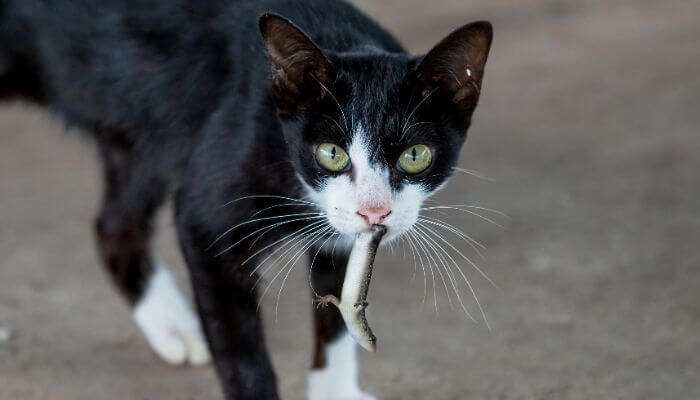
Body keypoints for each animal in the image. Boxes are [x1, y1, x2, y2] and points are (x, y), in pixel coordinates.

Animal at [0, 0, 492, 400]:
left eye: (415, 155)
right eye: (332, 153)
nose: (374, 211)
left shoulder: (338, 235)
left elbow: (335, 319)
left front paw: (334, 391)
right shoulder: (209, 219)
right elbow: (241, 351)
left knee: (113, 225)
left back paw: (173, 327)